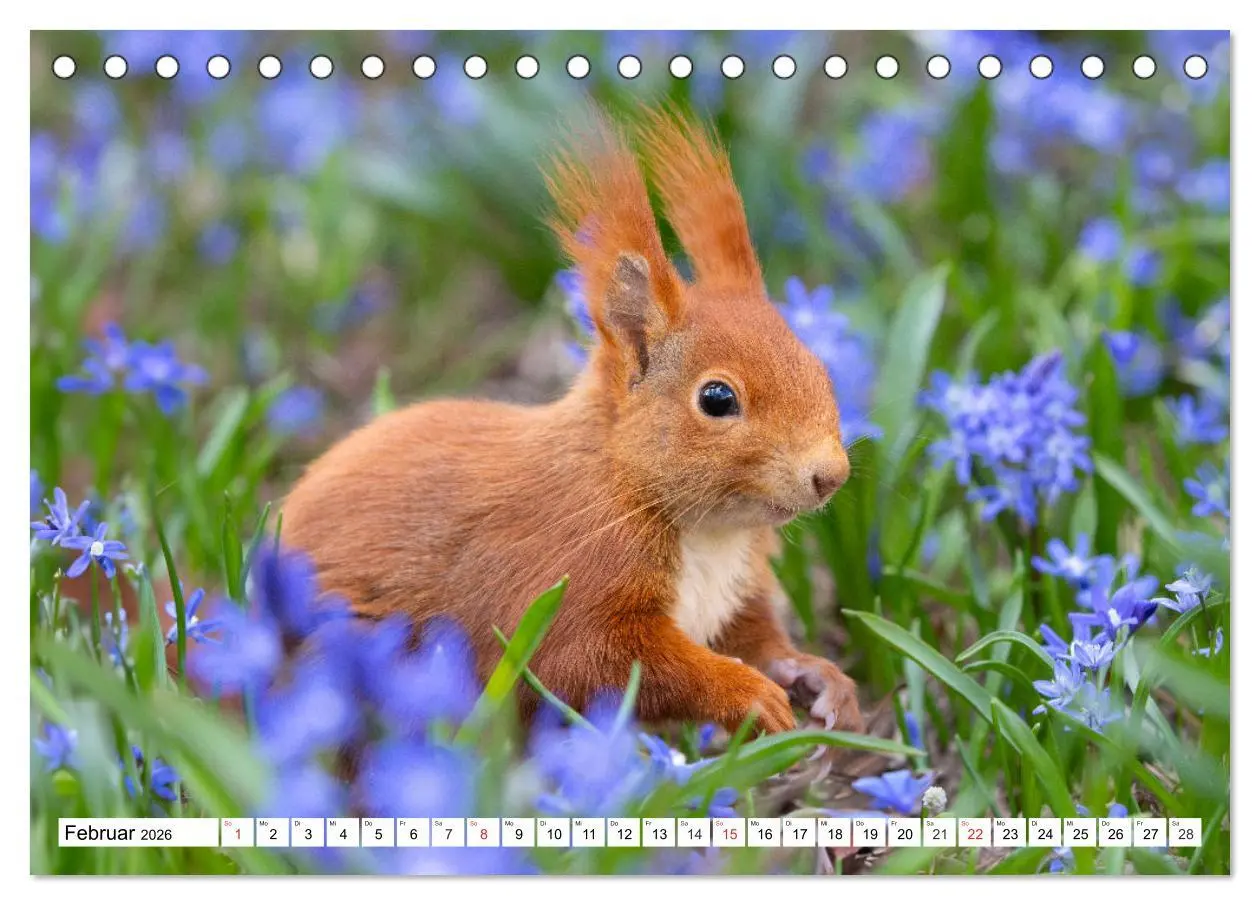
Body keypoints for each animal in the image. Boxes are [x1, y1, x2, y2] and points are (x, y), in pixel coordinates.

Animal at [280, 107, 864, 736]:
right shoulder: (565, 570)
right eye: (716, 398)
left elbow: (754, 638)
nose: (830, 475)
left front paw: (816, 675)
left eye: (820, 364)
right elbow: (587, 660)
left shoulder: (734, 593)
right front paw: (747, 693)